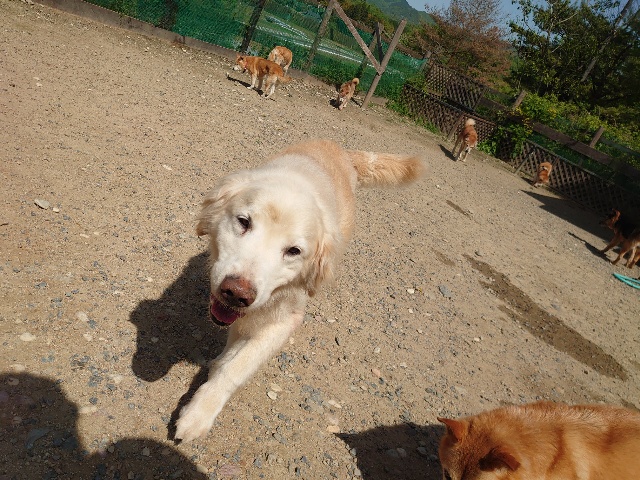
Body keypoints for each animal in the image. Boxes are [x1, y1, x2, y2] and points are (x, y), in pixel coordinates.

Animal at [174, 139, 423, 442]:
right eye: (244, 221)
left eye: (294, 251)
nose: (236, 293)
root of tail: (341, 149)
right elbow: (232, 350)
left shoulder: (285, 320)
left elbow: (236, 367)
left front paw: (199, 413)